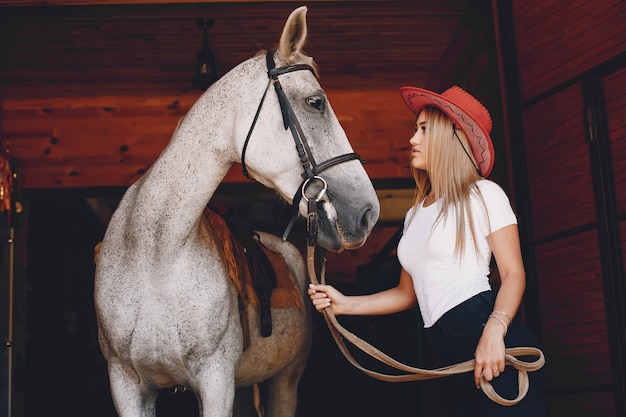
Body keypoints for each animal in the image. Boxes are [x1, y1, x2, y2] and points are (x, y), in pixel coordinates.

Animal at [91, 6, 378, 416]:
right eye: (315, 102)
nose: (368, 212)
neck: (156, 252)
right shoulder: (127, 385)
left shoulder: (215, 383)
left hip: (283, 382)